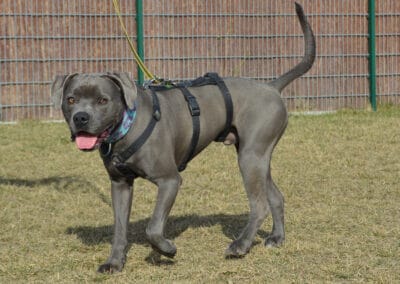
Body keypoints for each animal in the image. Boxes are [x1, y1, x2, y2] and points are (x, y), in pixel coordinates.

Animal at [51, 2, 316, 272]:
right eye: (70, 99)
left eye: (103, 100)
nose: (81, 118)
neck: (126, 126)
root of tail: (272, 86)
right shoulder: (120, 184)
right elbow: (120, 229)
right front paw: (115, 262)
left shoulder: (169, 181)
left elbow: (153, 227)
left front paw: (166, 249)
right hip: (257, 158)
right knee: (275, 196)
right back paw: (276, 238)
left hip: (250, 158)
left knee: (259, 204)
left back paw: (240, 246)